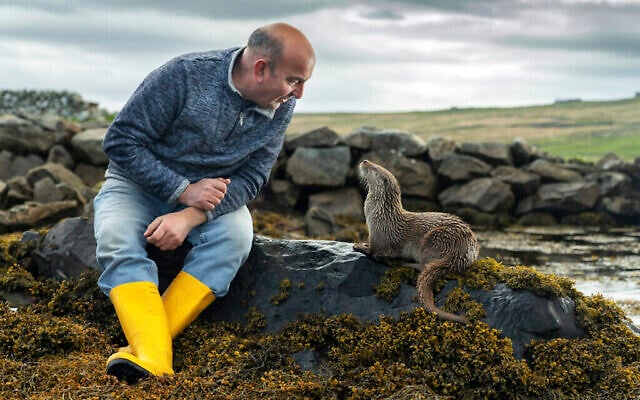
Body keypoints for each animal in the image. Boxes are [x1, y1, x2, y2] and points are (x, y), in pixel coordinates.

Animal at [354, 160, 479, 324]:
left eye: (374, 168)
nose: (364, 161)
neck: (380, 213)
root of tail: (462, 252)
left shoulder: (378, 234)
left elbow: (374, 250)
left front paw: (359, 245)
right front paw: (362, 243)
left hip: (434, 240)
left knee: (424, 264)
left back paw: (408, 264)